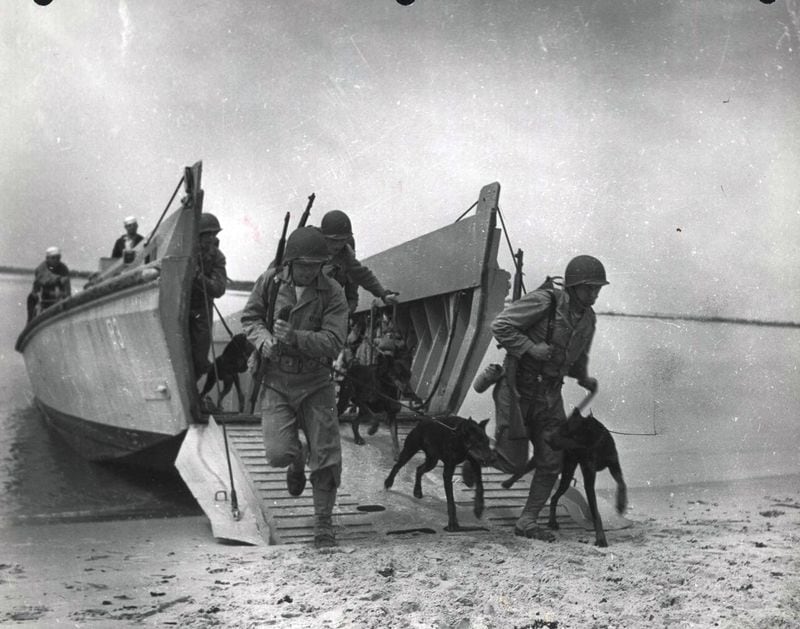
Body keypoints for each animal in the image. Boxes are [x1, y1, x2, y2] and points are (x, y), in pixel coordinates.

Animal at [504, 408, 628, 544]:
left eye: (567, 433)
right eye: (560, 429)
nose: (546, 439)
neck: (594, 445)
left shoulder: (614, 465)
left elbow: (622, 483)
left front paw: (621, 505)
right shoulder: (589, 476)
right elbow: (595, 511)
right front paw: (600, 538)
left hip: (567, 478)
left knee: (554, 497)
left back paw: (552, 522)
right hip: (563, 469)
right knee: (526, 468)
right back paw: (508, 482)